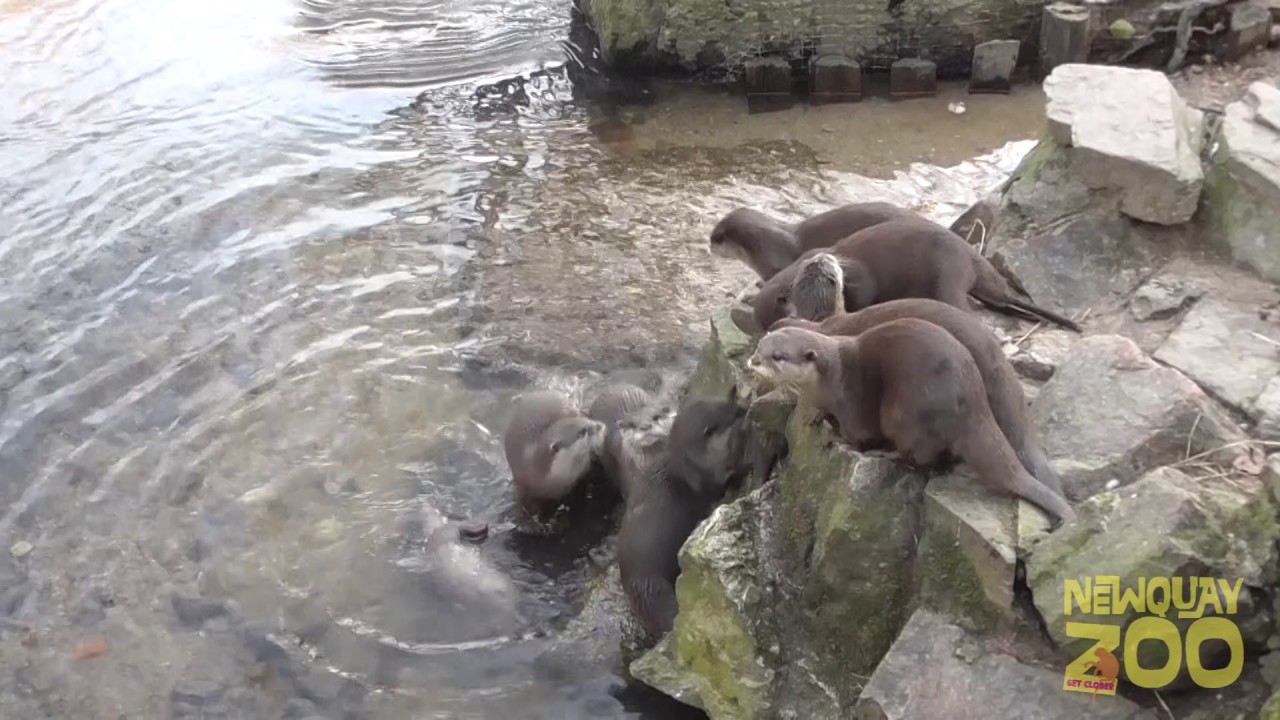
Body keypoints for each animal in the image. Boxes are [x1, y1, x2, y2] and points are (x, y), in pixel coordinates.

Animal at [616, 399, 751, 639]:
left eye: (728, 401)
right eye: (732, 414)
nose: (743, 408)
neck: (689, 462)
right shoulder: (710, 475)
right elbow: (723, 477)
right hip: (653, 585)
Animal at [746, 323, 1075, 525]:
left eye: (778, 356)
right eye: (760, 345)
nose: (753, 360)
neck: (828, 379)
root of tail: (973, 408)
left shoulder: (852, 401)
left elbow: (856, 434)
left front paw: (837, 438)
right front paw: (817, 416)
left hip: (902, 412)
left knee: (920, 456)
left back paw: (887, 454)